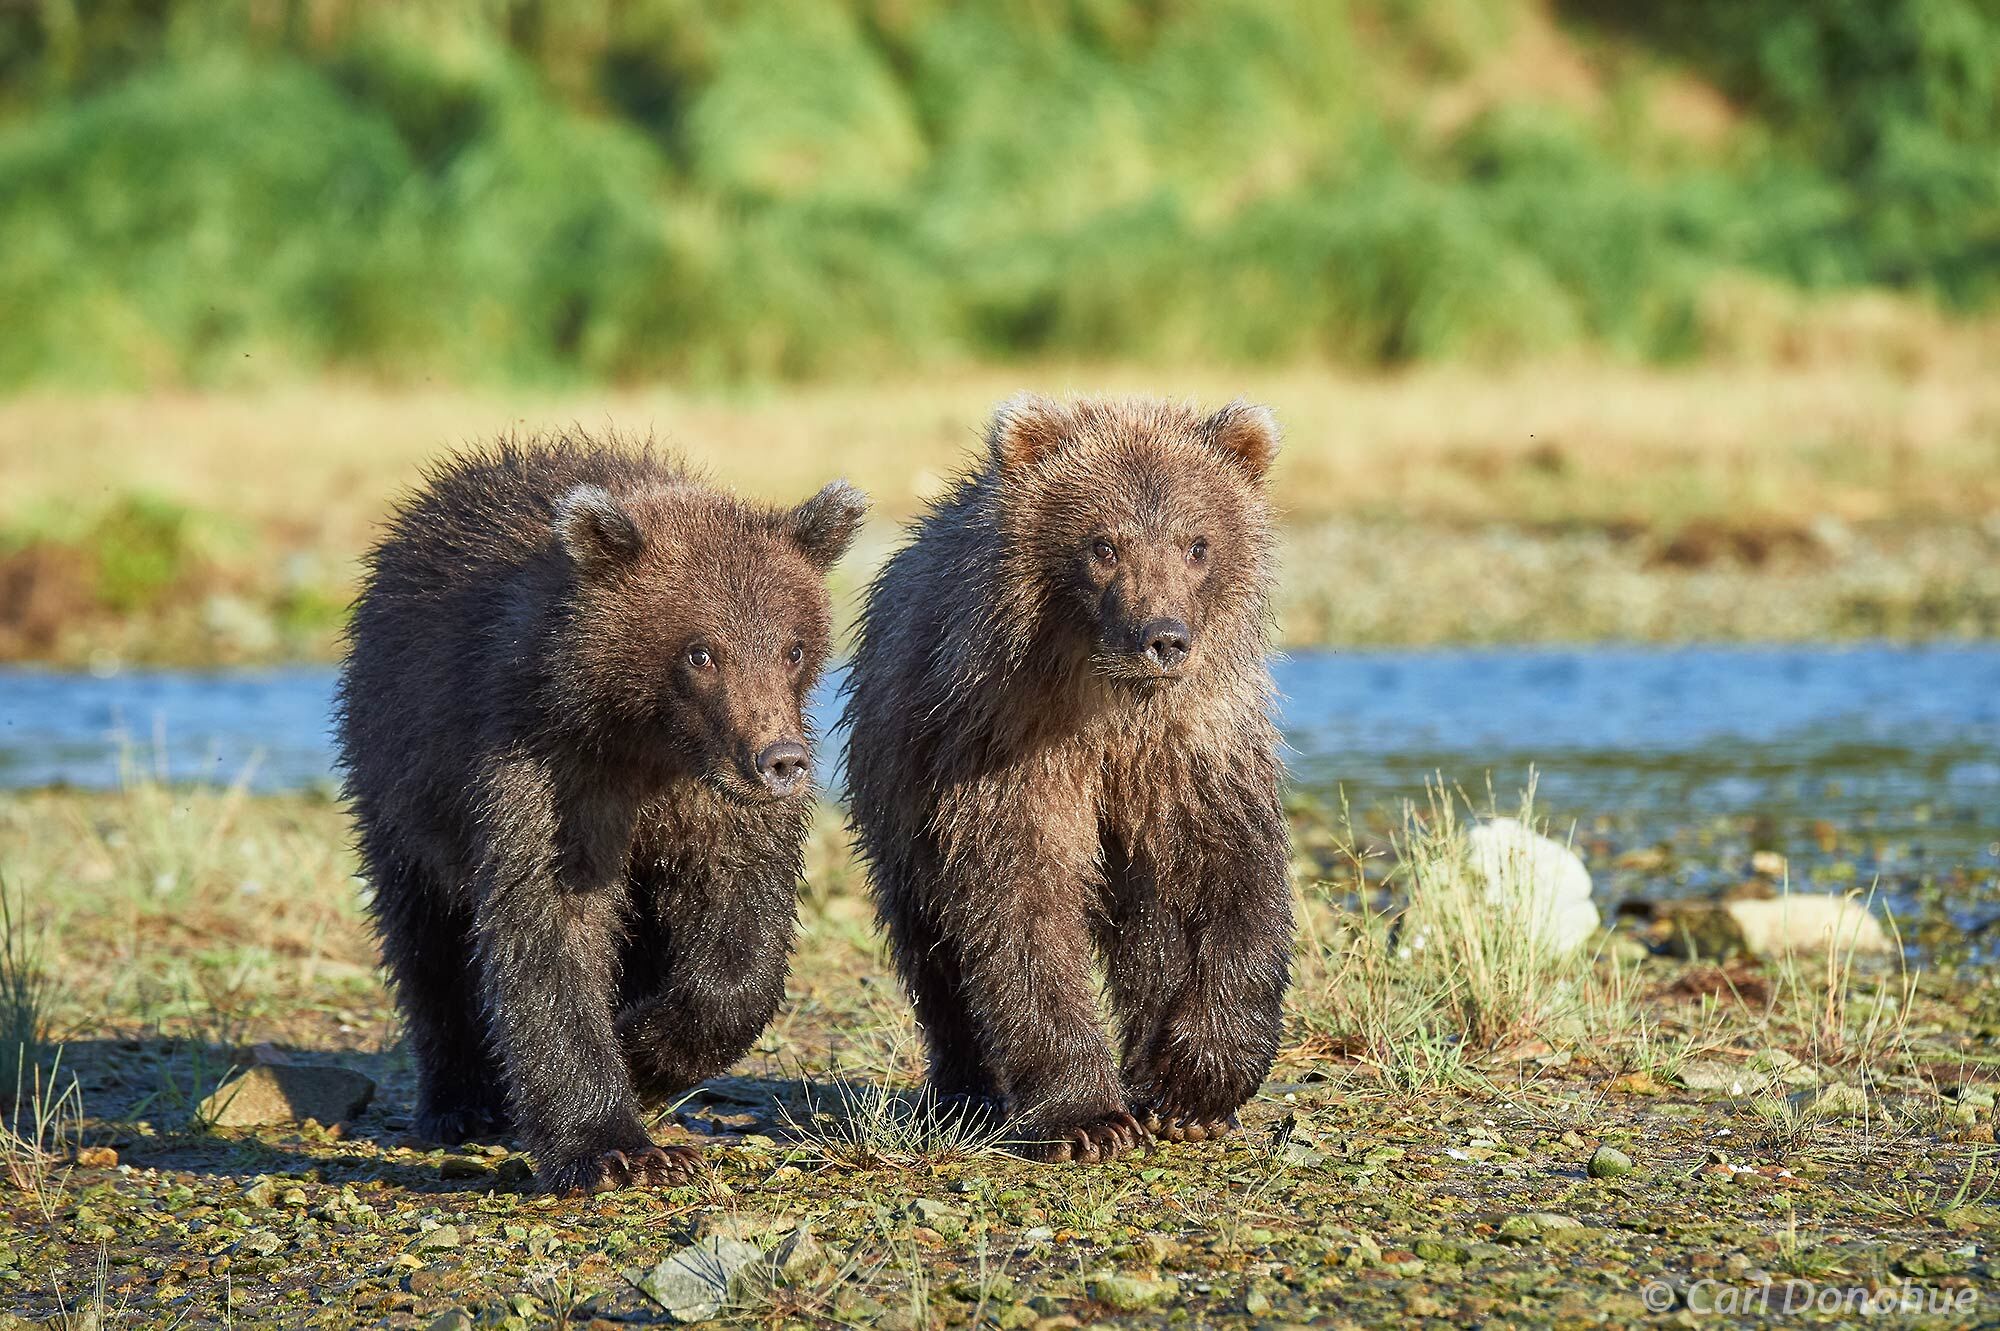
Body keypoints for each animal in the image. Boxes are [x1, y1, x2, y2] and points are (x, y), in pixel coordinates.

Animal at [334, 433, 866, 1194]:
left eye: (794, 646)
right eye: (701, 650)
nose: (781, 759)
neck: (647, 744)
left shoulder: (710, 803)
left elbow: (743, 927)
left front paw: (646, 1049)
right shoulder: (544, 767)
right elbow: (550, 926)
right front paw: (613, 1146)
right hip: (399, 775)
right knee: (425, 934)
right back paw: (460, 1100)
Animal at [842, 395, 1295, 1164]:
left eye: (1197, 543)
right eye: (1102, 544)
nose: (1163, 636)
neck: (1111, 706)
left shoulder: (1194, 747)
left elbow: (1232, 876)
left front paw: (1196, 1091)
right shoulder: (1004, 744)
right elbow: (1019, 906)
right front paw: (1087, 1117)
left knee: (1152, 931)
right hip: (898, 786)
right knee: (932, 946)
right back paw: (965, 1091)